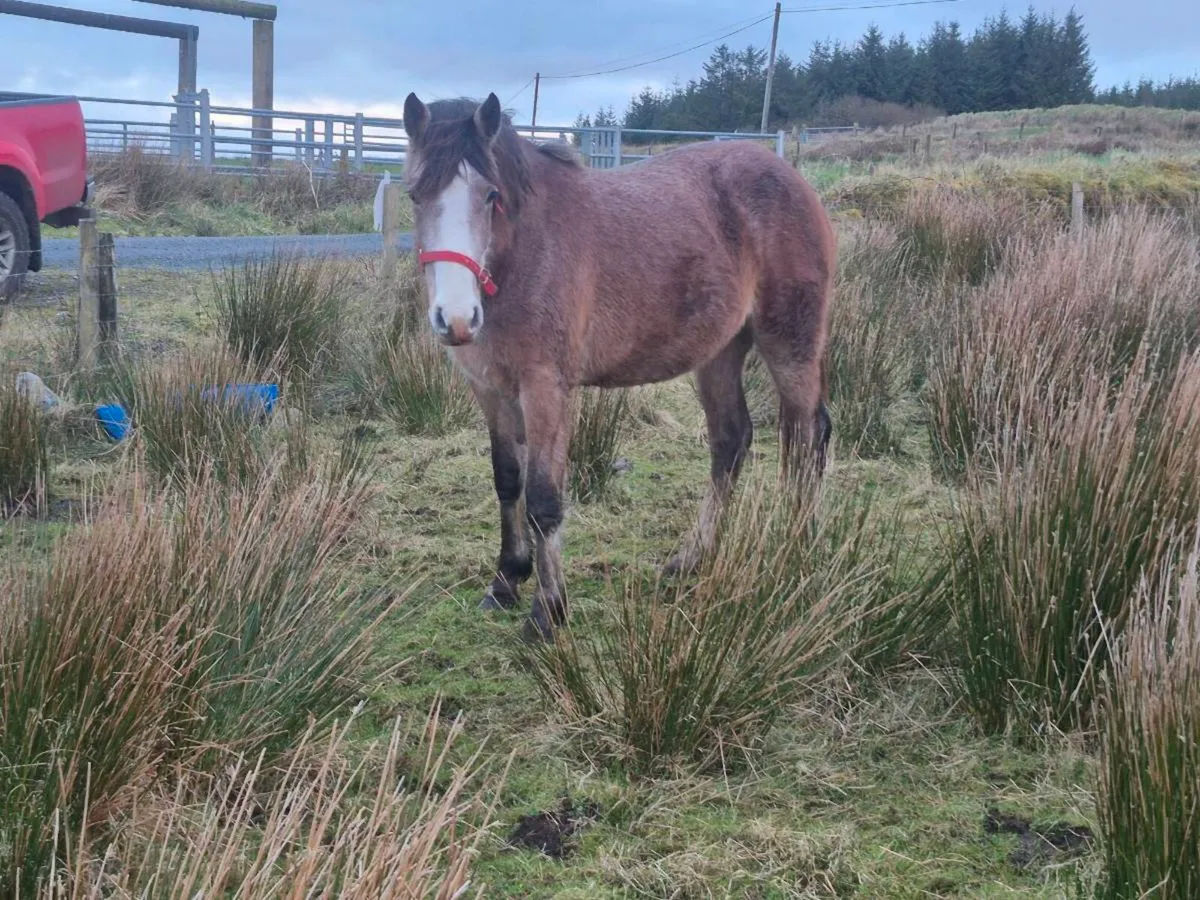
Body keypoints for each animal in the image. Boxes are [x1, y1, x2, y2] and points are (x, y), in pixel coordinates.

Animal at [401, 91, 837, 641]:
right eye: (415, 195)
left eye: (490, 195)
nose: (456, 318)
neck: (524, 253)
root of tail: (793, 180)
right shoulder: (490, 389)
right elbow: (507, 480)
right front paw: (506, 581)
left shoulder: (546, 388)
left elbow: (543, 497)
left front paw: (548, 612)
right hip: (719, 353)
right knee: (731, 443)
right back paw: (692, 559)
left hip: (790, 345)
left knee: (806, 438)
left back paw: (796, 552)